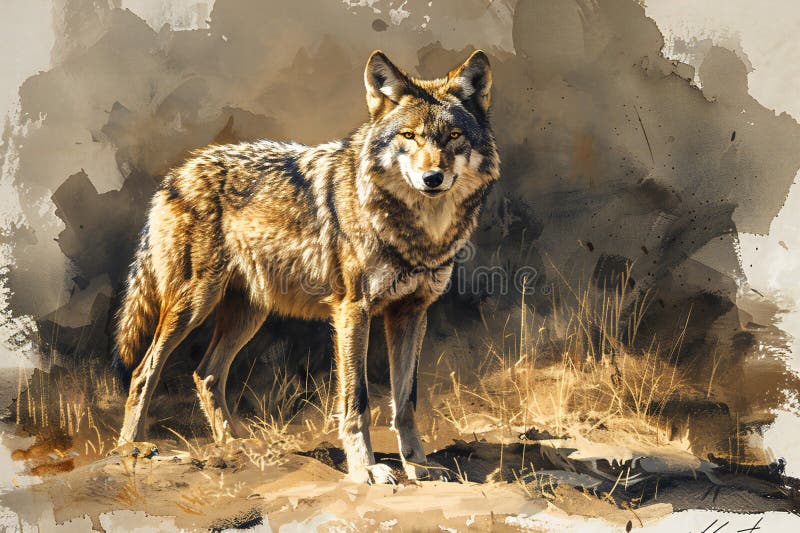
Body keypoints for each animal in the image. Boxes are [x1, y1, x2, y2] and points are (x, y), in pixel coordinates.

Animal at [113, 50, 499, 483]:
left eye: (454, 136)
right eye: (410, 136)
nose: (432, 178)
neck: (416, 233)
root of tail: (177, 173)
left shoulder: (411, 313)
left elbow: (406, 403)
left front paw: (418, 466)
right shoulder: (353, 311)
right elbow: (357, 401)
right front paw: (365, 468)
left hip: (248, 314)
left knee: (206, 374)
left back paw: (236, 446)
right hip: (193, 304)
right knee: (144, 371)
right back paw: (132, 448)